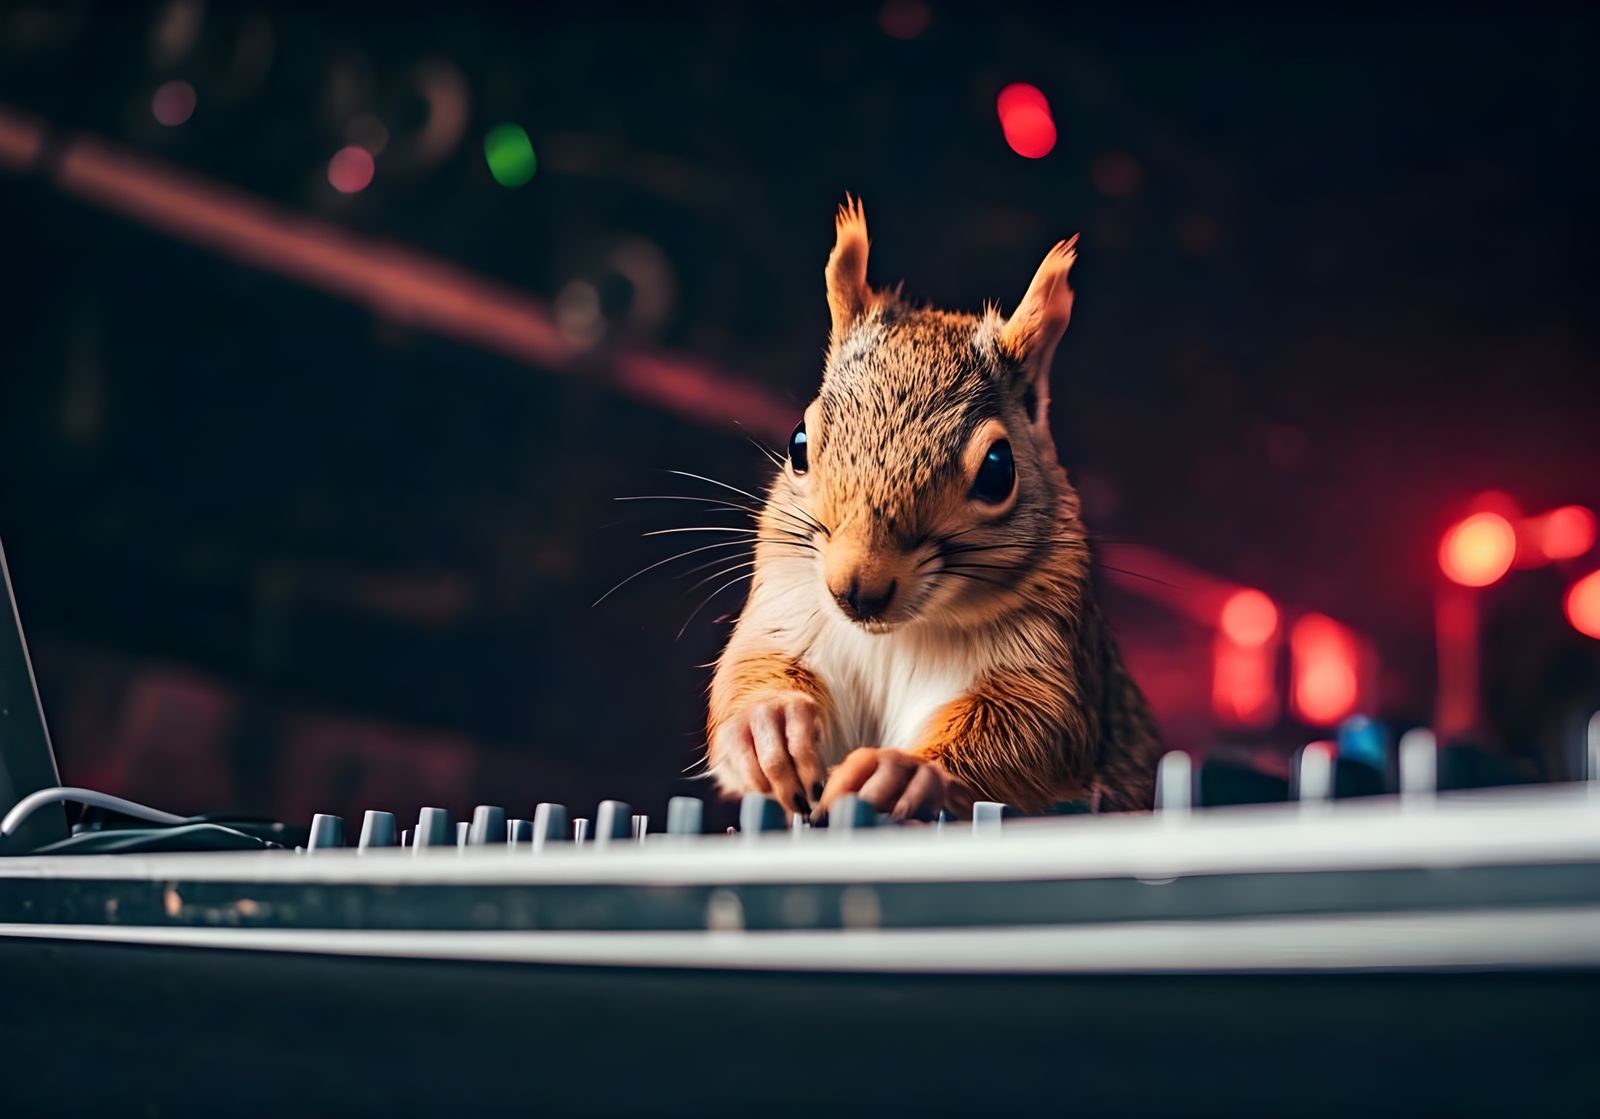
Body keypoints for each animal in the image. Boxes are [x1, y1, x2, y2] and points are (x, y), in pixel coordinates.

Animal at [706, 198, 1160, 822]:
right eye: (799, 443)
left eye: (998, 469)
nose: (858, 589)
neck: (896, 635)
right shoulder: (788, 607)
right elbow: (749, 669)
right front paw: (767, 727)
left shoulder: (1048, 658)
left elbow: (1035, 729)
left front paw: (903, 772)